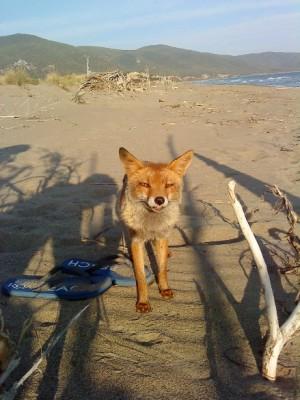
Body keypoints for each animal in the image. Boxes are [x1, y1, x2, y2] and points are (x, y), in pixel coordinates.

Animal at [117, 148, 192, 312]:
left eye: (168, 185)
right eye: (145, 184)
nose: (159, 200)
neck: (152, 223)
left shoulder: (162, 236)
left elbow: (162, 268)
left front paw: (164, 289)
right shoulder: (137, 240)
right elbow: (140, 276)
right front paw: (143, 302)